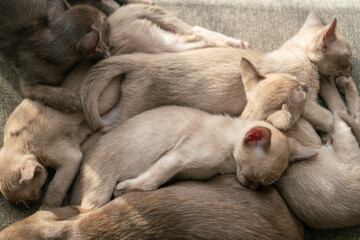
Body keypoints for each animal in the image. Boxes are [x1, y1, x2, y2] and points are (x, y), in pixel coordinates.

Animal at [69, 106, 316, 209]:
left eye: (262, 185)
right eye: (252, 176)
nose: (251, 187)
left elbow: (156, 180)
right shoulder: (176, 159)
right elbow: (150, 182)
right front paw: (125, 189)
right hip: (99, 193)